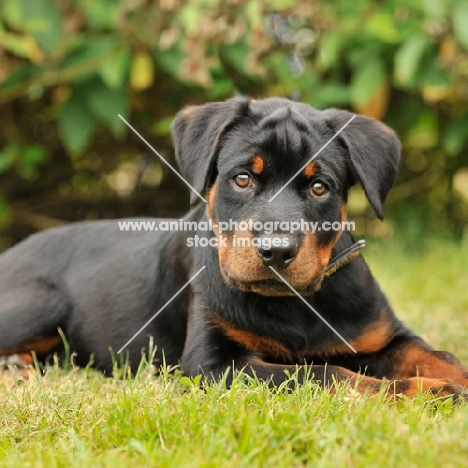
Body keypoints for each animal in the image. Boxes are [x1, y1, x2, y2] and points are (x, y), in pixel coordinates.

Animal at [0, 97, 468, 396]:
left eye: (320, 186)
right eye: (242, 178)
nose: (276, 251)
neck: (294, 304)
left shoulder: (382, 335)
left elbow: (438, 354)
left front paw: (450, 379)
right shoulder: (214, 364)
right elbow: (323, 373)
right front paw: (430, 393)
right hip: (42, 302)